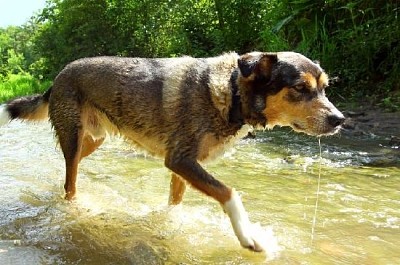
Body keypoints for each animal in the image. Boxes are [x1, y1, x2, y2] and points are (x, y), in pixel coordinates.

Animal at [0, 52, 344, 252]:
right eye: (300, 88)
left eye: (324, 87)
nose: (339, 120)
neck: (231, 93)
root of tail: (59, 75)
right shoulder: (180, 160)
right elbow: (229, 193)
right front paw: (249, 236)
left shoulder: (185, 167)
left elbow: (176, 203)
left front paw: (169, 223)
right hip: (74, 137)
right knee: (70, 180)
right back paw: (73, 207)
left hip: (93, 139)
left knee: (69, 169)